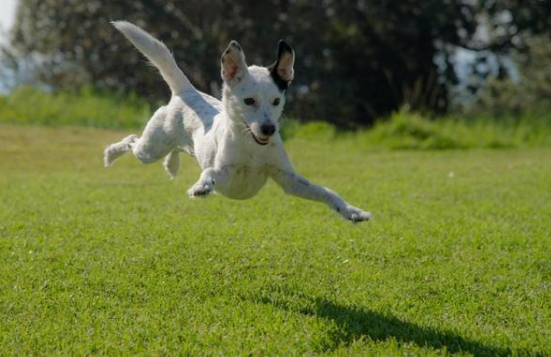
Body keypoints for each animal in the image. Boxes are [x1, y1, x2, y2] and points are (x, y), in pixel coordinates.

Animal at [103, 20, 370, 221]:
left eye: (276, 101)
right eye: (249, 101)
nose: (269, 129)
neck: (252, 148)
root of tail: (187, 92)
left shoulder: (289, 180)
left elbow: (327, 192)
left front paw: (352, 211)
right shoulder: (225, 174)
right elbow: (210, 172)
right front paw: (201, 186)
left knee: (175, 149)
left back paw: (171, 164)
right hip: (150, 148)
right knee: (132, 140)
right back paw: (111, 154)